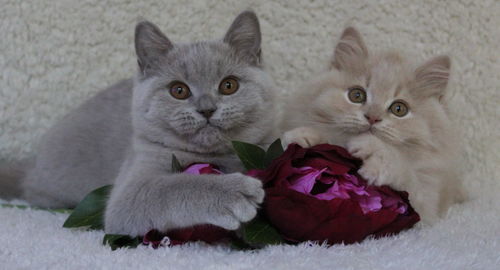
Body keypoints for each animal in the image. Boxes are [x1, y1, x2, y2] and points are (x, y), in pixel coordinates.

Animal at [0, 10, 278, 235]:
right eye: (179, 90)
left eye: (229, 85)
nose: (207, 109)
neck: (216, 156)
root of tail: (32, 165)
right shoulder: (130, 188)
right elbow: (174, 187)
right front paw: (234, 192)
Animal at [284, 26, 466, 224]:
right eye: (357, 95)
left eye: (399, 109)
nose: (372, 117)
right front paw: (303, 136)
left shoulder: (427, 206)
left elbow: (403, 168)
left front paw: (373, 151)